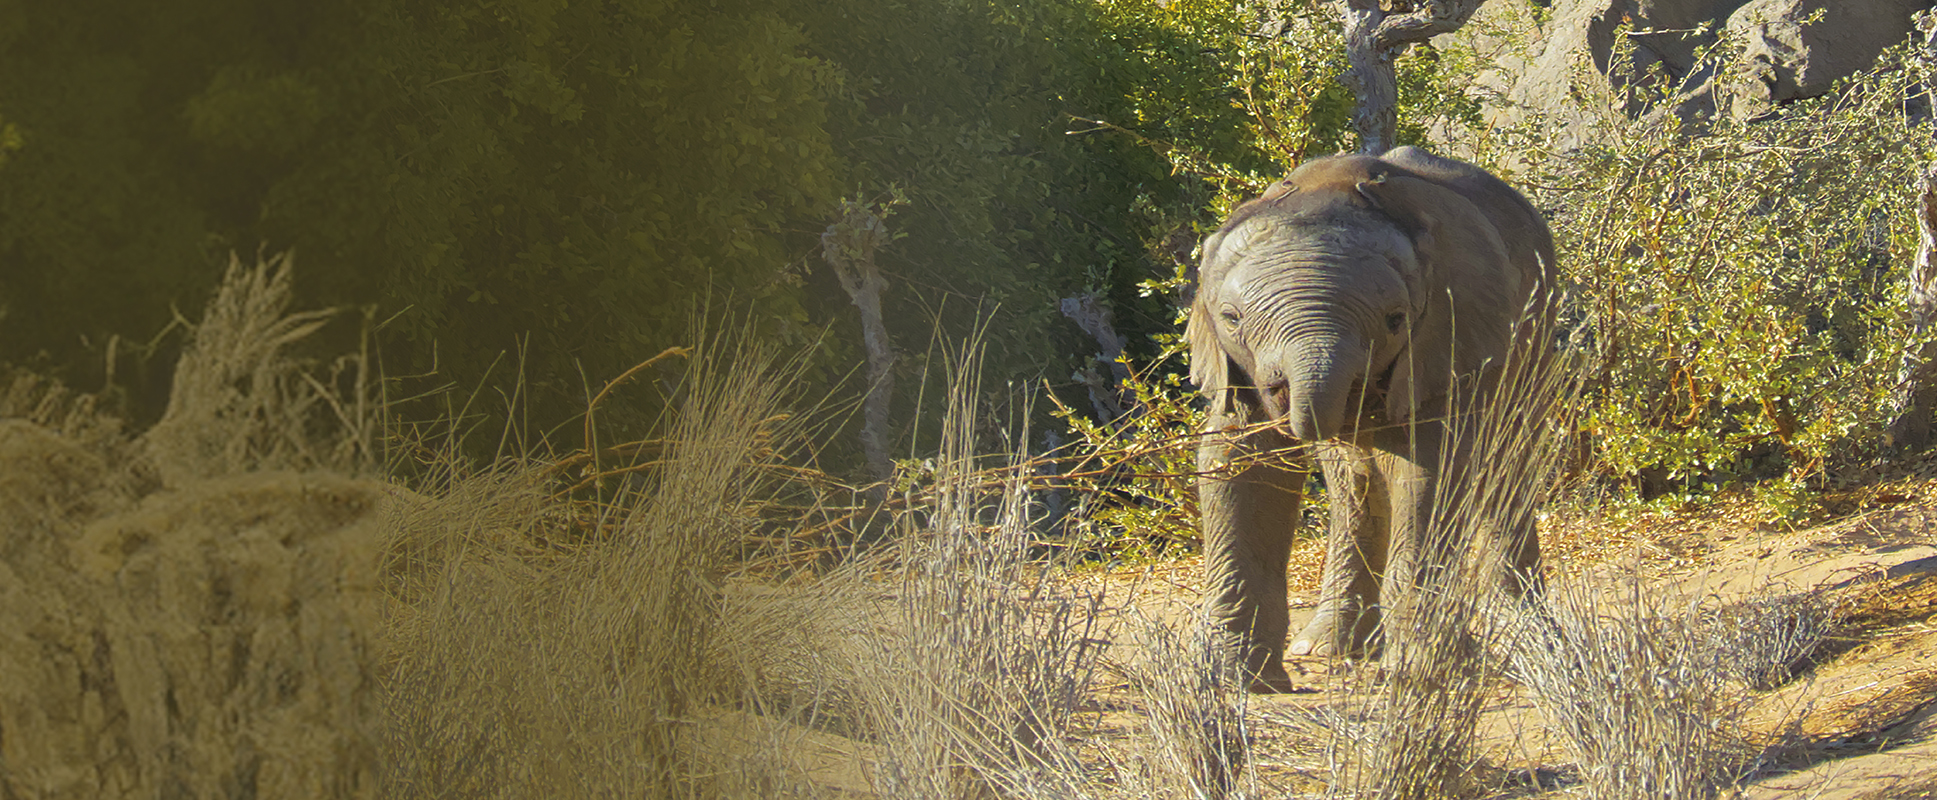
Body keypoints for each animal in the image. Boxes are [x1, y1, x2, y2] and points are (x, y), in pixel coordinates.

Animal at [1187, 146, 1555, 692]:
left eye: (1396, 320)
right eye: (1231, 319)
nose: (1292, 403)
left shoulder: (1446, 336)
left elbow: (1425, 472)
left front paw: (1421, 672)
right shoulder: (1234, 367)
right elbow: (1242, 462)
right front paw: (1233, 682)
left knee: (1506, 470)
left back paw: (1529, 637)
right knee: (1353, 487)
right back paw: (1328, 648)